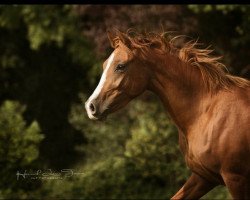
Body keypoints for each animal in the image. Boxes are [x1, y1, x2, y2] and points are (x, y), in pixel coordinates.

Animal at [84, 28, 250, 199]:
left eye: (120, 66)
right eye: (104, 65)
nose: (91, 106)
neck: (205, 114)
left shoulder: (235, 178)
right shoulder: (203, 177)